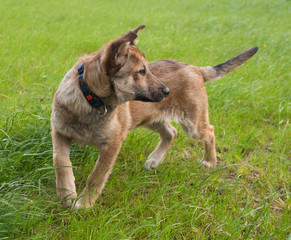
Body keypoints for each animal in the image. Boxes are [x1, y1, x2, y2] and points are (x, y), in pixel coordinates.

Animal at [51, 24, 258, 208]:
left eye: (147, 69)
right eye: (142, 71)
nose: (167, 91)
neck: (90, 99)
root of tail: (195, 68)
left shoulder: (112, 144)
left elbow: (96, 177)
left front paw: (84, 203)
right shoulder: (59, 132)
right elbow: (60, 161)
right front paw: (67, 193)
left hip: (193, 123)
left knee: (209, 132)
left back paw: (209, 162)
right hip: (151, 118)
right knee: (171, 133)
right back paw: (155, 160)